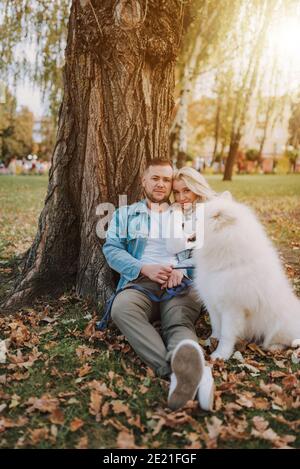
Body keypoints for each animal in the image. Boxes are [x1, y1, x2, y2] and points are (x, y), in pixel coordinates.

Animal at [192, 192, 300, 360]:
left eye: (195, 220)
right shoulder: (213, 303)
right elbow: (216, 328)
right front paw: (210, 342)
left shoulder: (233, 309)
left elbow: (226, 335)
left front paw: (220, 355)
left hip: (278, 325)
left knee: (285, 340)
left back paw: (275, 347)